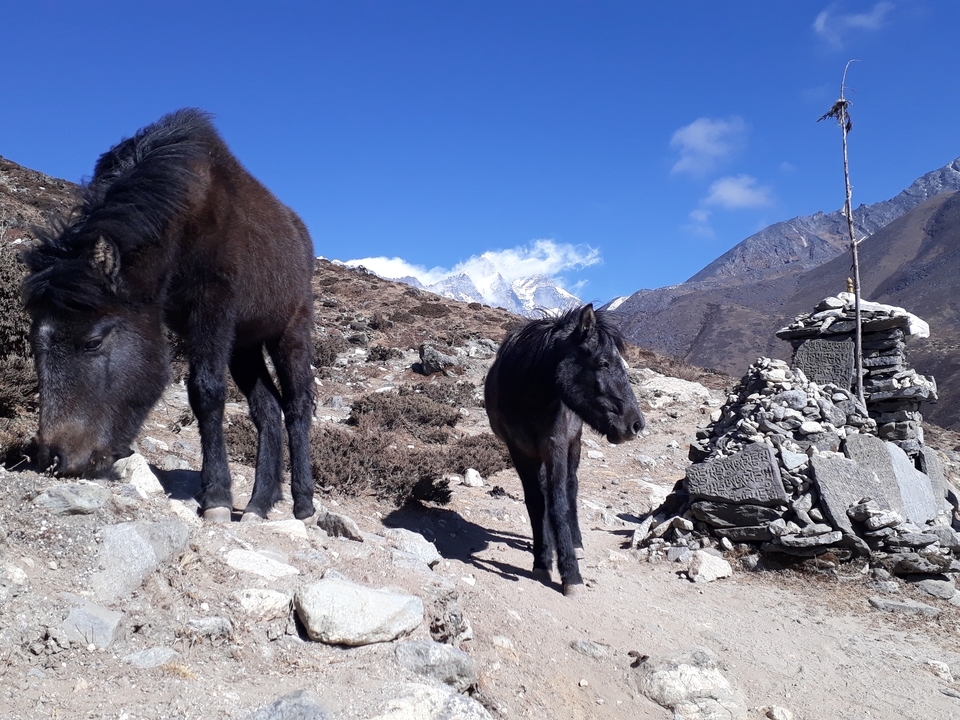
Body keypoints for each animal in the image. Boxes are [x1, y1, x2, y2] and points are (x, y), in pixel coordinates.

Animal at [23, 109, 317, 522]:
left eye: (93, 342)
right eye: (35, 342)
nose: (55, 456)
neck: (187, 218)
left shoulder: (212, 312)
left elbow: (206, 391)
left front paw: (216, 497)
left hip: (289, 334)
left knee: (296, 407)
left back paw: (303, 503)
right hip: (245, 347)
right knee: (268, 410)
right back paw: (259, 503)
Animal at [484, 304, 644, 596]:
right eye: (603, 363)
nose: (636, 424)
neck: (528, 397)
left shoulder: (556, 445)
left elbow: (559, 504)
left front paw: (571, 573)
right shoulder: (519, 450)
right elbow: (536, 503)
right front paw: (542, 560)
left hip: (574, 444)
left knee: (570, 488)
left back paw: (576, 543)